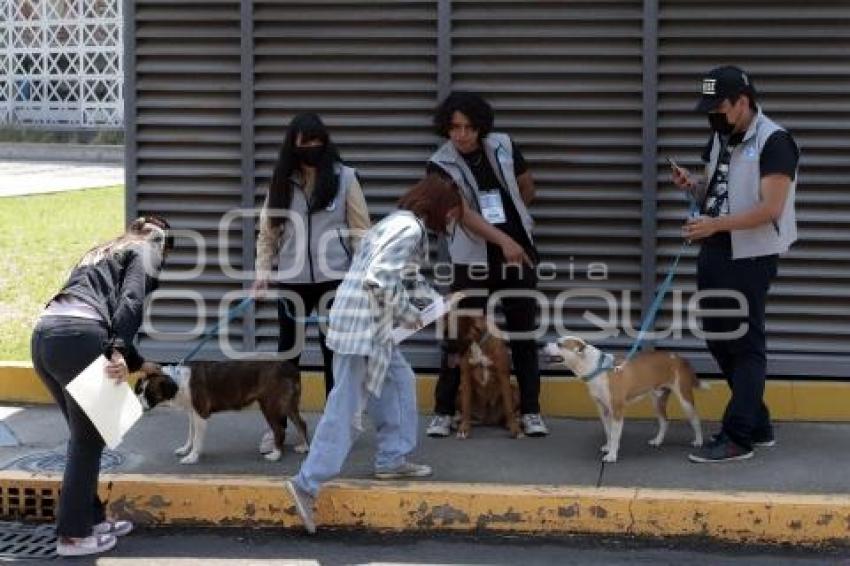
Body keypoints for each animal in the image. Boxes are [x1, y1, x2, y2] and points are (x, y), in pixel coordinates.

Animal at [137, 364, 310, 466]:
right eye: (141, 391)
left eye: (150, 394)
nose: (139, 404)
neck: (178, 381)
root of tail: (291, 367)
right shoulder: (192, 414)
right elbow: (191, 436)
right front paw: (186, 449)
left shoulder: (200, 415)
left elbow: (197, 440)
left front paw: (192, 457)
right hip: (287, 404)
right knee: (301, 423)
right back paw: (305, 447)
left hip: (270, 404)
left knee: (280, 430)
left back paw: (276, 455)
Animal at [544, 338, 704, 462]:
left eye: (559, 344)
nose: (544, 344)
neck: (596, 368)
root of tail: (678, 357)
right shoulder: (603, 410)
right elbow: (608, 432)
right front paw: (609, 447)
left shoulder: (617, 410)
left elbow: (615, 434)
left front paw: (612, 455)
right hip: (657, 400)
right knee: (664, 421)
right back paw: (658, 440)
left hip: (685, 400)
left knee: (695, 420)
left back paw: (699, 441)